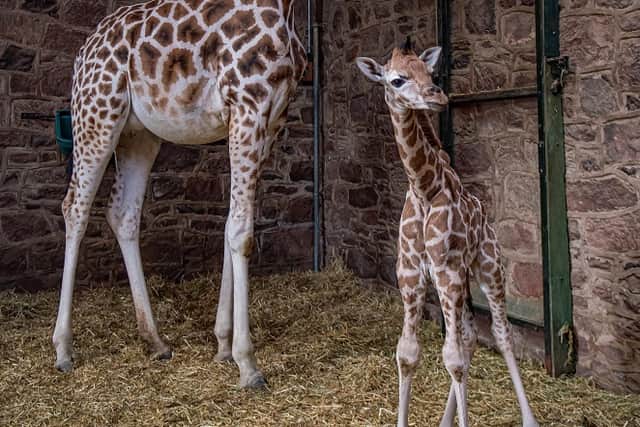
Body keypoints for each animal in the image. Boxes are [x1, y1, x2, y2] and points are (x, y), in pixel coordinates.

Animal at [52, 0, 307, 389]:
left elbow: (231, 224)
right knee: (74, 207)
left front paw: (223, 345)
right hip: (96, 114)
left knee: (122, 213)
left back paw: (154, 340)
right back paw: (63, 348)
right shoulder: (248, 107)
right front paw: (247, 364)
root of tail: (83, 52)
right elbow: (242, 233)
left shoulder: (272, 120)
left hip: (138, 134)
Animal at [357, 41, 539, 427]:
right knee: (469, 336)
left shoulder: (447, 272)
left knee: (500, 334)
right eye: (396, 80)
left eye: (432, 73)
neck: (425, 188)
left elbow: (452, 358)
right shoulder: (411, 275)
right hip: (463, 280)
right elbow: (408, 353)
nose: (437, 96)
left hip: (488, 266)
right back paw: (445, 420)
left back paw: (529, 418)